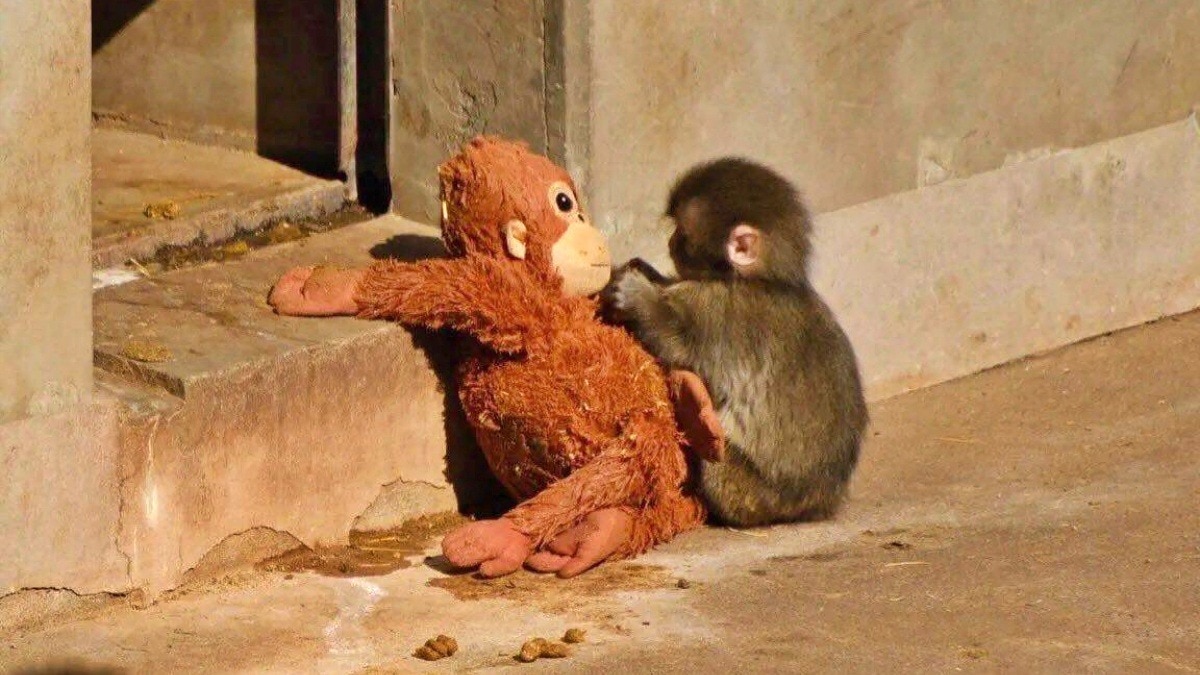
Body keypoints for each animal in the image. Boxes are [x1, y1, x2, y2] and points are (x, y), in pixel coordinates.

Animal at [600, 158, 869, 527]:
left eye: (682, 233)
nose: (670, 242)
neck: (762, 280)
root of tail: (816, 505)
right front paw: (647, 272)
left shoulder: (719, 311)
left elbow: (682, 349)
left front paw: (638, 296)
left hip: (748, 493)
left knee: (716, 462)